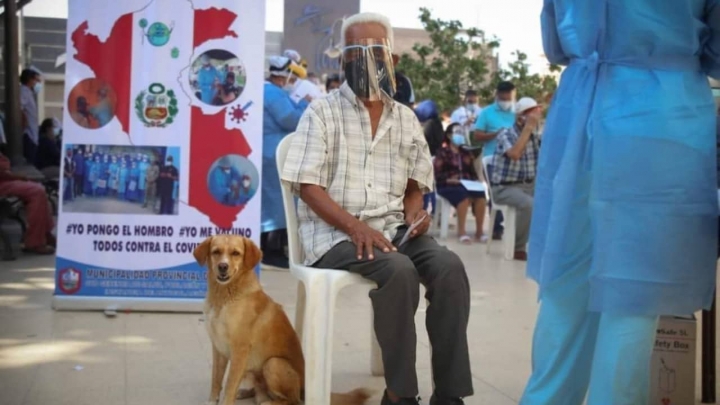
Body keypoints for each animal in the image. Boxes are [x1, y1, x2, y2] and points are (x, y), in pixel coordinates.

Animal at [194, 235, 372, 402]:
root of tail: (305, 385)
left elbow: (229, 386)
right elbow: (216, 380)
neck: (222, 297)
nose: (222, 267)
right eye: (216, 252)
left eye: (235, 253)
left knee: (291, 400)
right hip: (252, 370)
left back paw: (267, 402)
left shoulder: (240, 349)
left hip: (273, 363)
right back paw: (248, 393)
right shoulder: (218, 348)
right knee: (261, 391)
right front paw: (212, 400)